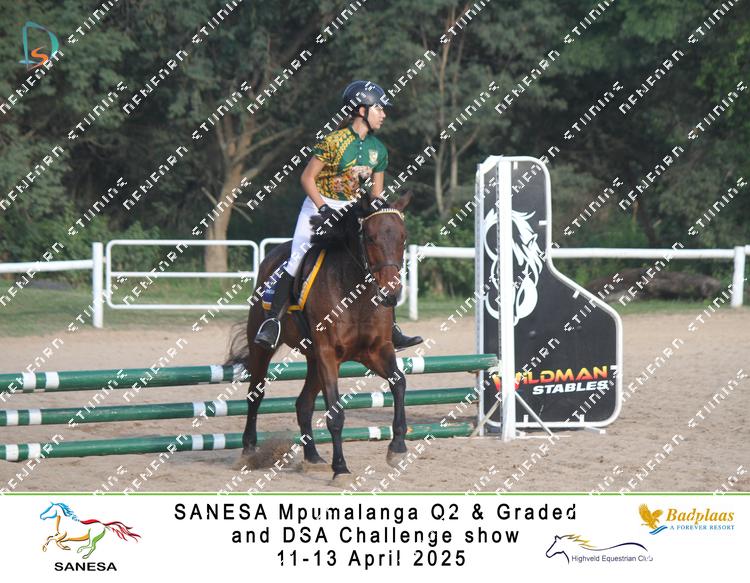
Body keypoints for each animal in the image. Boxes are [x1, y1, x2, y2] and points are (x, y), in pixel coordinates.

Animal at [226, 192, 412, 481]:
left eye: (403, 237)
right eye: (371, 238)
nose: (390, 294)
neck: (355, 294)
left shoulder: (375, 351)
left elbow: (399, 383)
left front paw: (398, 448)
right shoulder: (328, 354)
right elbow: (335, 414)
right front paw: (341, 469)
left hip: (314, 359)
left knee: (303, 404)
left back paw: (312, 457)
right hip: (265, 348)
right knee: (256, 394)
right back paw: (248, 452)